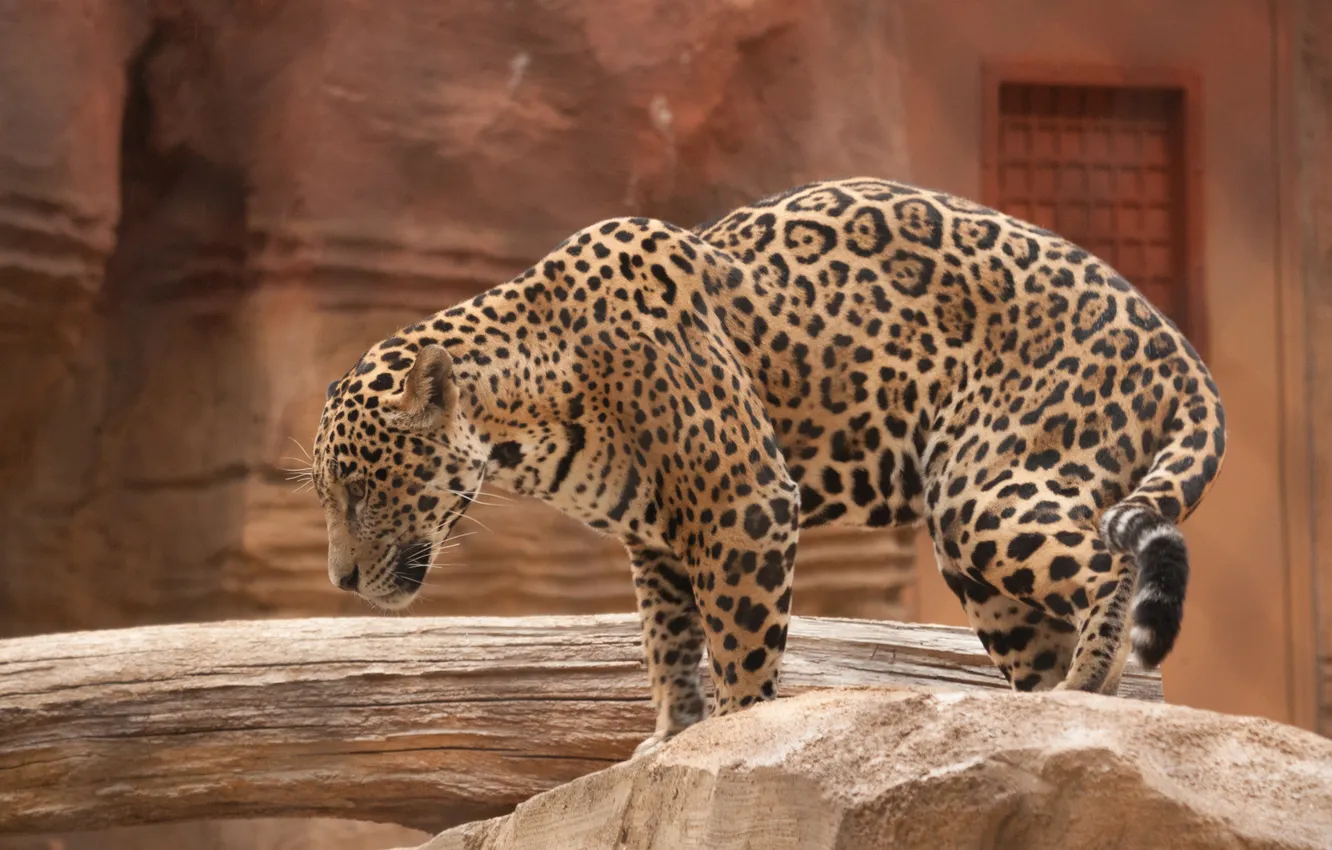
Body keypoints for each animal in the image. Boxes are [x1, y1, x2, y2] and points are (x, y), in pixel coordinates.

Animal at [311, 177, 1226, 756]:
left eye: (360, 489)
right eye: (332, 492)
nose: (342, 581)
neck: (532, 402)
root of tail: (1182, 352)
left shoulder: (742, 501)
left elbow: (740, 642)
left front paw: (740, 734)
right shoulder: (655, 543)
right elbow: (669, 644)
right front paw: (670, 740)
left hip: (986, 487)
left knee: (1112, 563)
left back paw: (1088, 684)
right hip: (983, 563)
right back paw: (1042, 720)